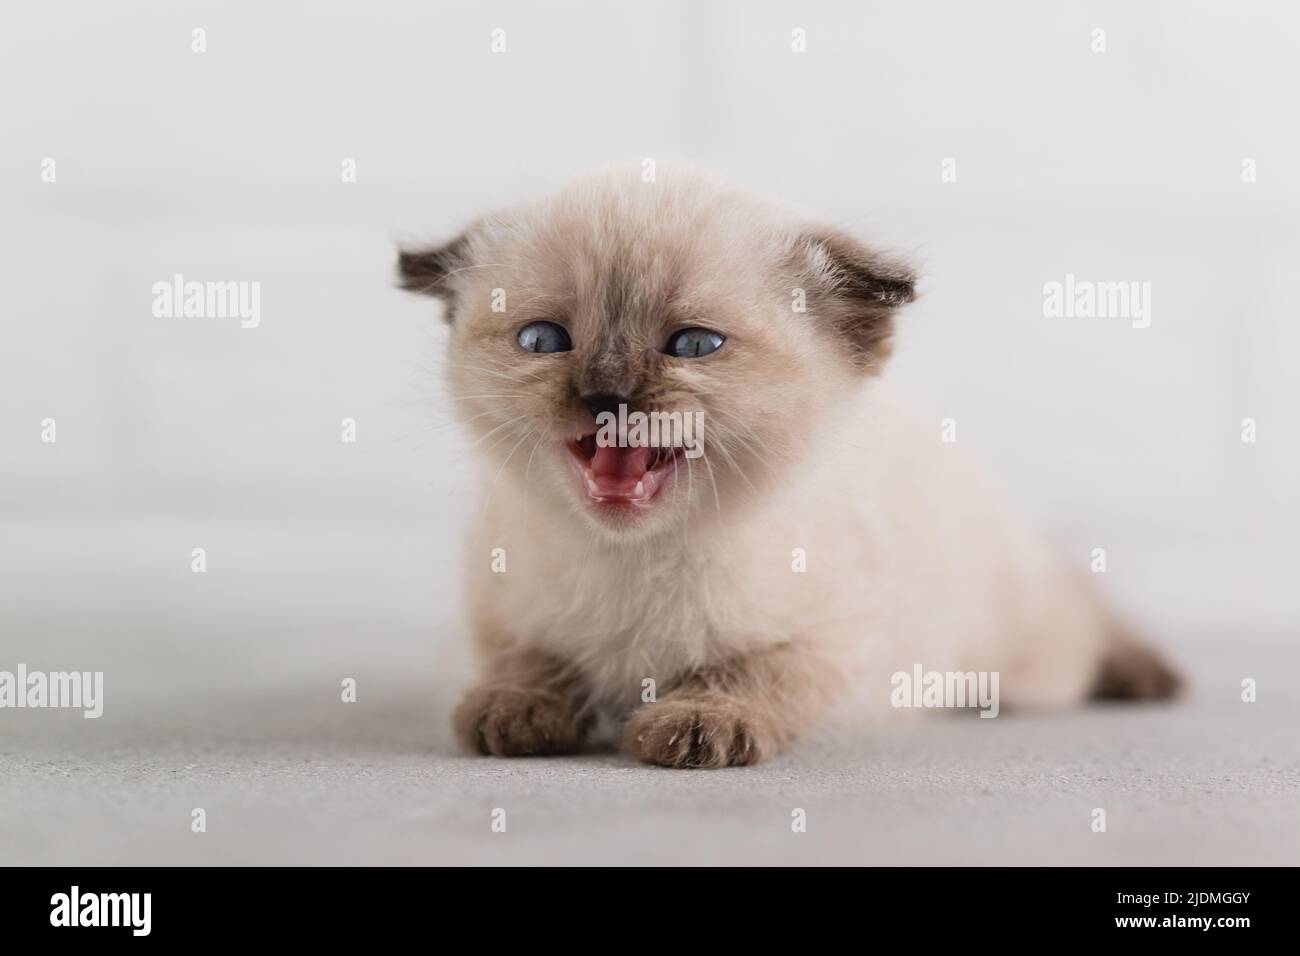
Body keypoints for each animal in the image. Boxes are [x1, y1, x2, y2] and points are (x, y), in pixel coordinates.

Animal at [397, 167, 1180, 770]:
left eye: (693, 345)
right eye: (543, 340)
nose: (605, 394)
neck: (635, 558)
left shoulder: (834, 642)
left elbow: (755, 672)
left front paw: (699, 723)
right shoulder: (500, 603)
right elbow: (529, 658)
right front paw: (513, 709)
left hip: (1029, 656)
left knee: (1083, 620)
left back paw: (1145, 673)